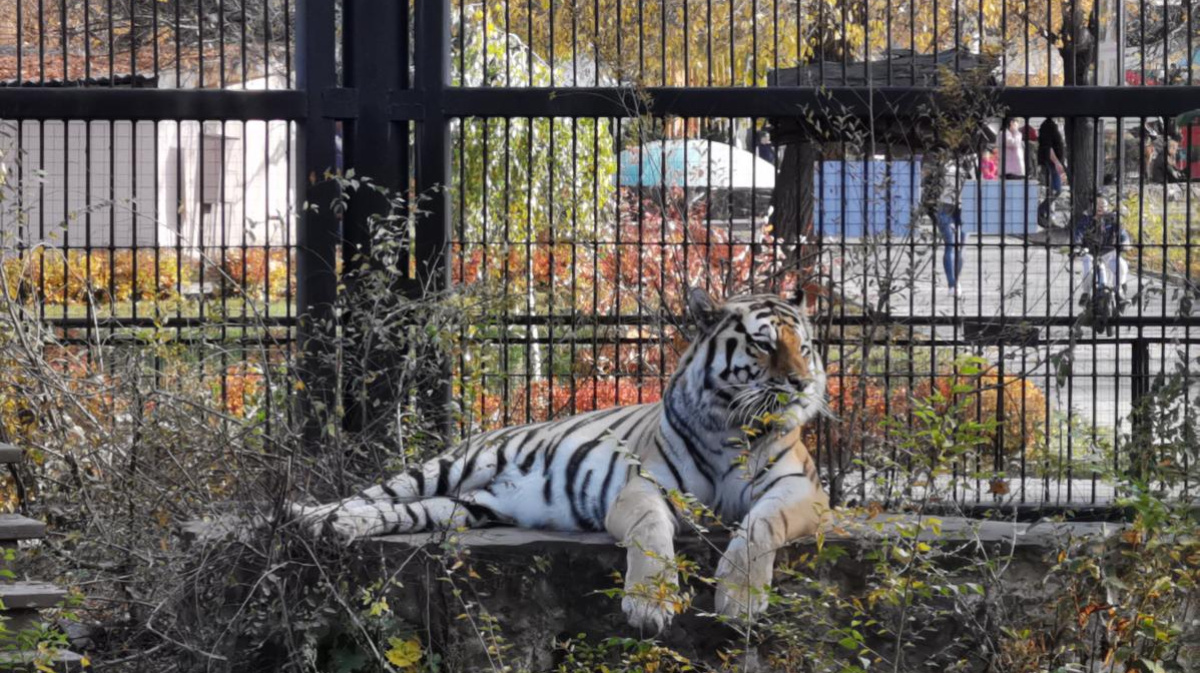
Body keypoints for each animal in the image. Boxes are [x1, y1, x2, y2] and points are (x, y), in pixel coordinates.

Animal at [295, 289, 830, 628]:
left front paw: (740, 600)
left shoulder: (802, 490)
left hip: (465, 507)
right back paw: (308, 515)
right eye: (763, 344)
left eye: (805, 346)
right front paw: (648, 606)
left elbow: (759, 527)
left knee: (393, 512)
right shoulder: (642, 488)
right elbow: (652, 535)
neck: (731, 427)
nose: (803, 384)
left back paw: (333, 527)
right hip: (446, 468)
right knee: (371, 494)